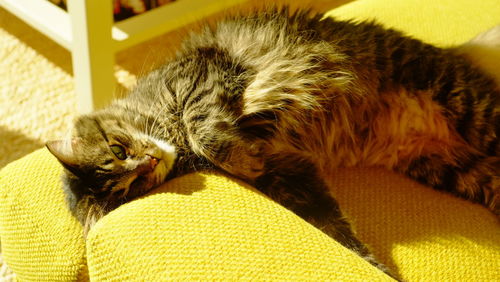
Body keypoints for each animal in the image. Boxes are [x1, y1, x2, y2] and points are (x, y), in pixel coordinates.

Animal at [46, 8, 496, 276]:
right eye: (131, 187)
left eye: (118, 151)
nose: (147, 164)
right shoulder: (292, 174)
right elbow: (334, 229)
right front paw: (373, 269)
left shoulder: (204, 76)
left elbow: (206, 130)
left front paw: (241, 158)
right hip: (462, 172)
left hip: (474, 112)